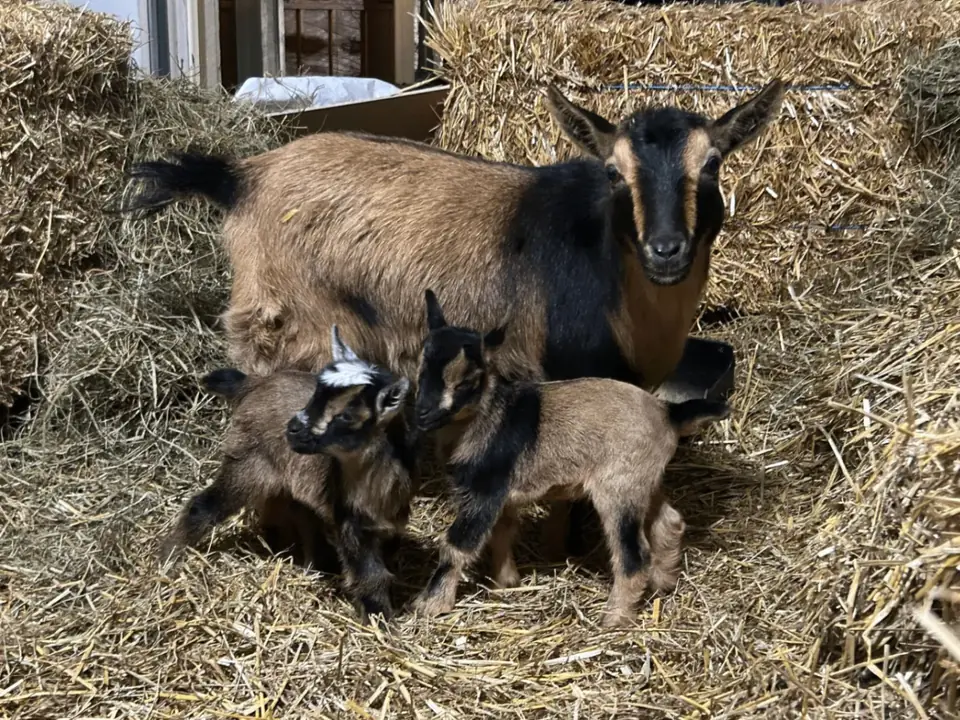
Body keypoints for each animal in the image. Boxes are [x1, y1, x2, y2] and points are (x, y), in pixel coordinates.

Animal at [159, 326, 419, 622]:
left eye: (347, 416)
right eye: (315, 394)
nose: (293, 428)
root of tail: (255, 383)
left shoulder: (391, 520)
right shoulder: (349, 521)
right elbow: (369, 574)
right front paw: (379, 620)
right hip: (248, 462)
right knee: (204, 506)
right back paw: (168, 559)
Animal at [411, 290, 730, 627]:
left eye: (465, 382)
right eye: (421, 370)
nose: (422, 413)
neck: (488, 416)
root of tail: (668, 413)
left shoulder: (485, 489)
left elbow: (458, 544)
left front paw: (431, 604)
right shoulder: (501, 496)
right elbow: (502, 531)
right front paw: (505, 583)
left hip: (617, 489)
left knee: (633, 556)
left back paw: (614, 619)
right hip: (642, 479)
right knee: (669, 522)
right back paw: (663, 583)